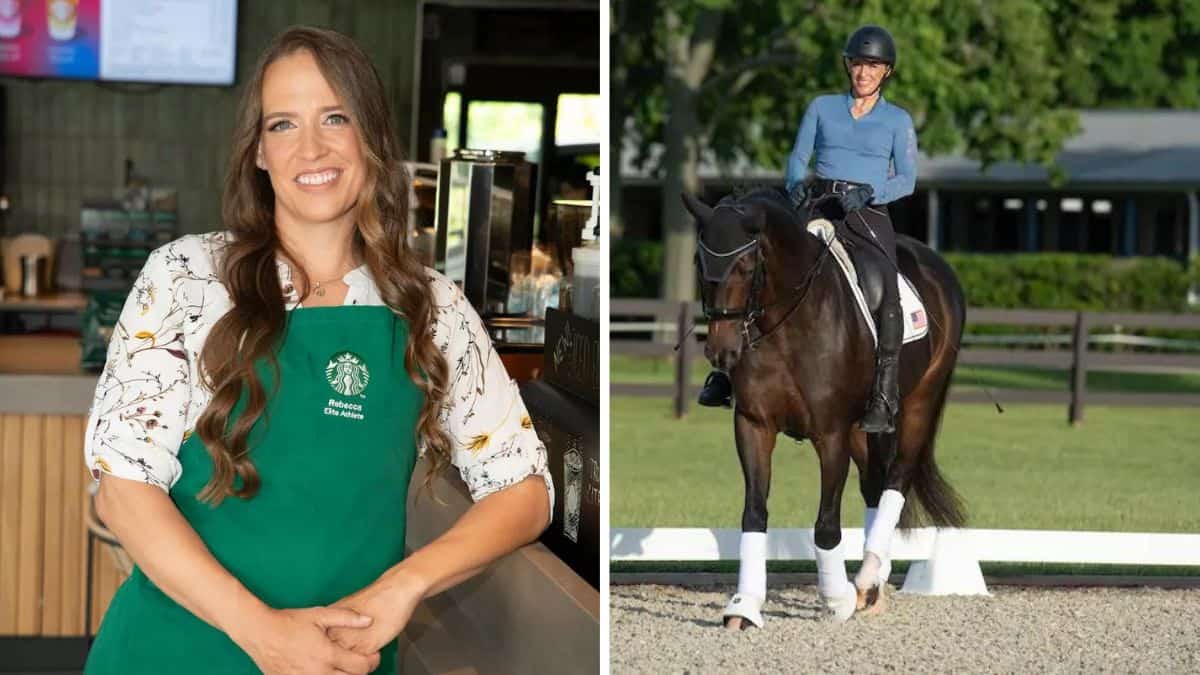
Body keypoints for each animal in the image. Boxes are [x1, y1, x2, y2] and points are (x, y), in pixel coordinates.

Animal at [686, 184, 964, 624]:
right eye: (699, 262)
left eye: (746, 266)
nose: (721, 351)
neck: (785, 324)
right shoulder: (753, 425)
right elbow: (754, 513)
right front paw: (744, 606)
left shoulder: (830, 434)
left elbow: (827, 525)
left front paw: (837, 601)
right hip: (862, 429)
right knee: (874, 485)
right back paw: (874, 583)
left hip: (921, 401)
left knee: (896, 479)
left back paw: (865, 581)